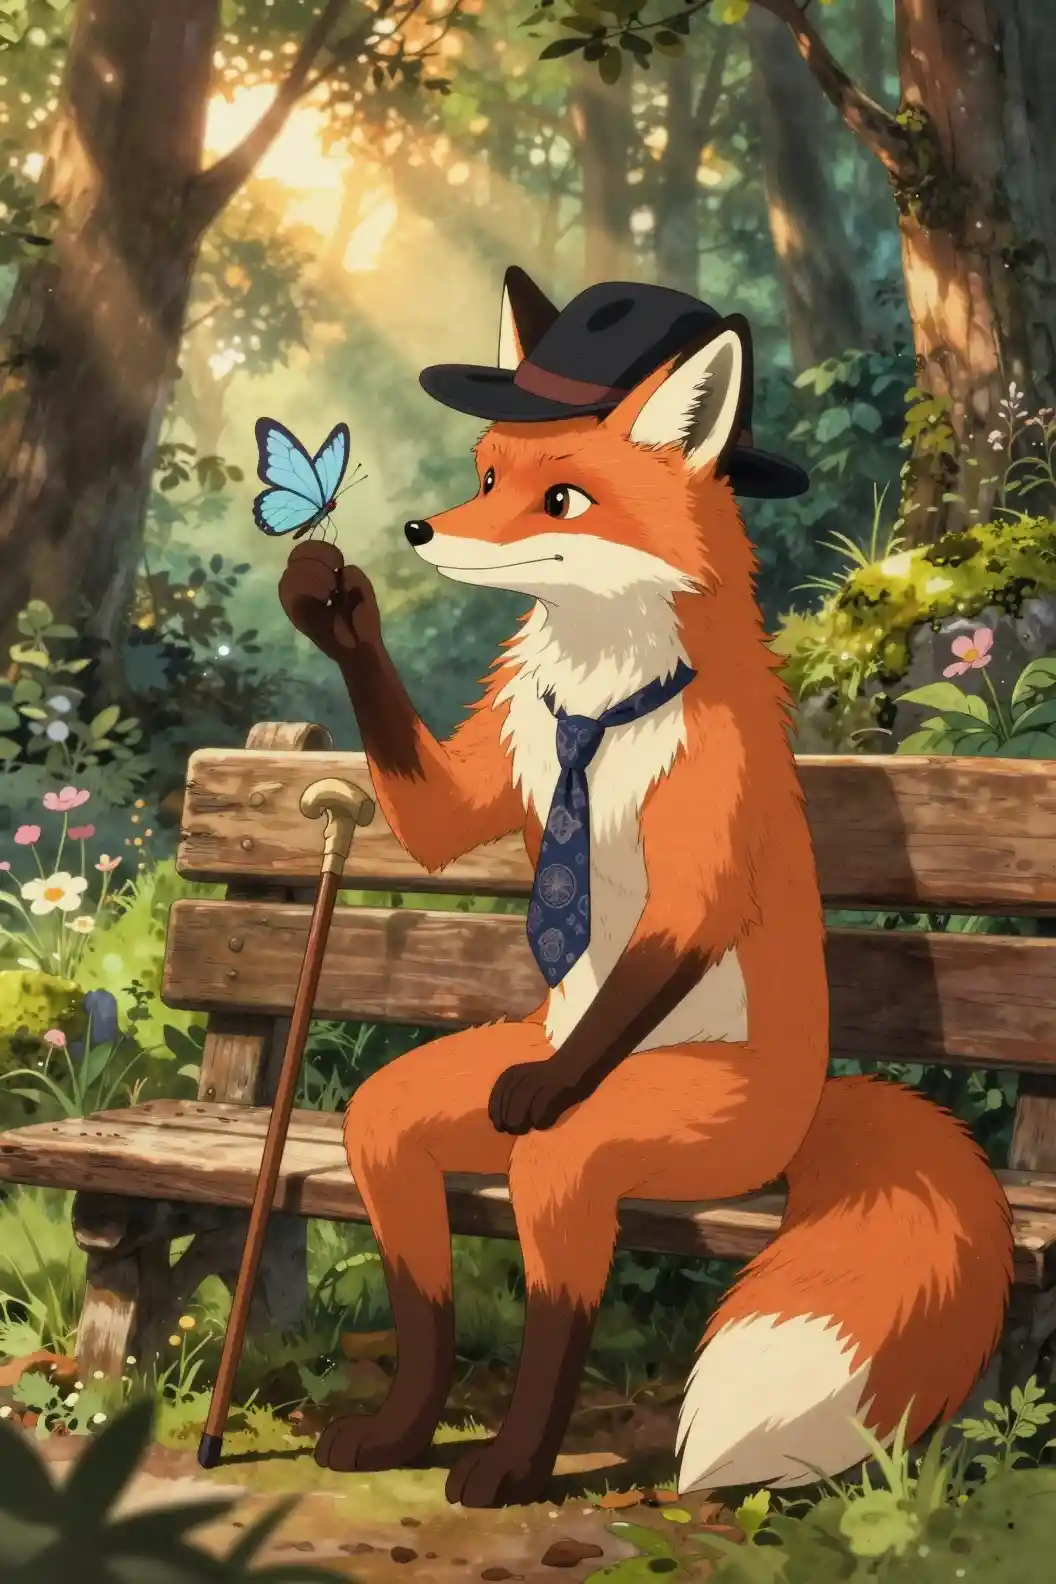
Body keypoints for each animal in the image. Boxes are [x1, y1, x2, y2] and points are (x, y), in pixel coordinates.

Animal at [278, 269, 1013, 1510]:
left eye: (564, 498)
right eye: (488, 476)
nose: (423, 530)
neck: (598, 702)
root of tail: (813, 1107)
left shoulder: (704, 838)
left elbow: (676, 924)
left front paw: (542, 1089)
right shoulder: (499, 761)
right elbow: (440, 825)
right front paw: (330, 604)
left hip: (655, 1133)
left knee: (555, 1230)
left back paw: (511, 1466)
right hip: (422, 1108)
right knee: (402, 1192)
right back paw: (401, 1432)